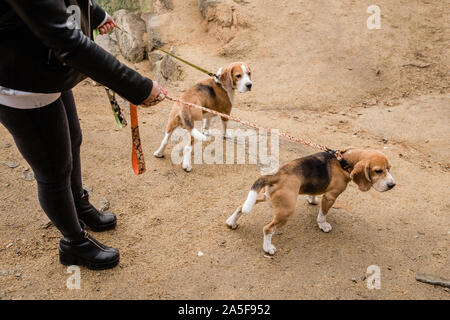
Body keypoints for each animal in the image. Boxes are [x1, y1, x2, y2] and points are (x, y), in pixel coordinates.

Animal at [227, 148, 396, 255]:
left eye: (389, 168)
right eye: (378, 171)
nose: (392, 185)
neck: (343, 162)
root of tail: (277, 174)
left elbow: (314, 194)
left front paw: (312, 199)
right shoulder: (330, 197)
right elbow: (323, 214)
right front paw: (323, 225)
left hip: (263, 196)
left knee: (241, 207)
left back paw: (231, 222)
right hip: (286, 211)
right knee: (268, 229)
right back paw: (268, 248)